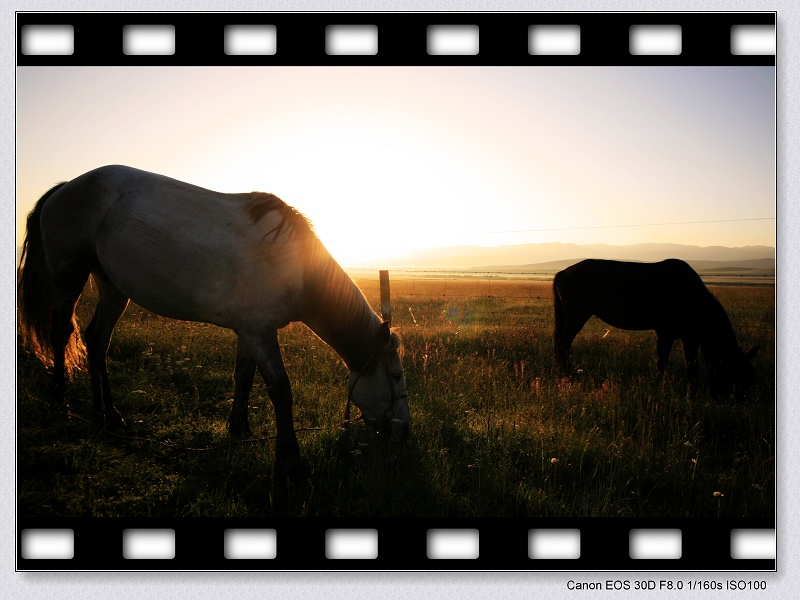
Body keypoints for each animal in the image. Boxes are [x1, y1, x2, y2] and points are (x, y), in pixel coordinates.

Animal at [17, 165, 412, 482]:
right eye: (395, 376)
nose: (405, 433)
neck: (296, 266)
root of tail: (66, 187)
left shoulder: (250, 330)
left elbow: (244, 376)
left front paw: (239, 428)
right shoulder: (259, 331)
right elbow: (280, 389)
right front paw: (289, 462)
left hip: (113, 288)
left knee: (97, 340)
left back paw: (108, 415)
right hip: (69, 275)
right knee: (61, 332)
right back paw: (62, 403)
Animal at [552, 258, 760, 398]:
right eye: (738, 374)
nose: (742, 399)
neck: (693, 298)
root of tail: (562, 273)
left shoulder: (689, 337)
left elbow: (691, 365)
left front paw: (692, 391)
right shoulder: (666, 334)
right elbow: (663, 363)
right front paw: (659, 387)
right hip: (576, 316)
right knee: (563, 344)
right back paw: (566, 374)